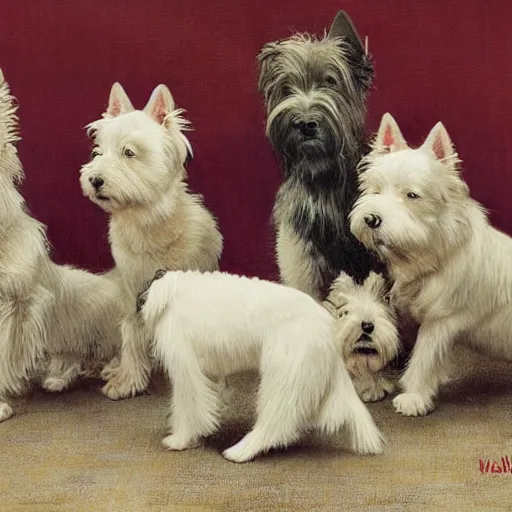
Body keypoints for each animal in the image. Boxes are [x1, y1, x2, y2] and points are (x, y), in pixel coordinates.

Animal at [80, 84, 222, 402]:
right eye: (98, 151)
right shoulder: (133, 290)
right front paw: (128, 381)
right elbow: (131, 333)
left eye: (128, 152)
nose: (94, 180)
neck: (150, 224)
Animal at [136, 272, 384, 464]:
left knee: (275, 423)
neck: (170, 294)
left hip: (282, 376)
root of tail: (327, 326)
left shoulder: (186, 369)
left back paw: (240, 452)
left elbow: (188, 409)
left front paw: (180, 439)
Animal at [352, 112, 512, 416]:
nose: (371, 219)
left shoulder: (441, 321)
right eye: (376, 191)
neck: (439, 253)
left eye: (412, 195)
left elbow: (424, 357)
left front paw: (413, 397)